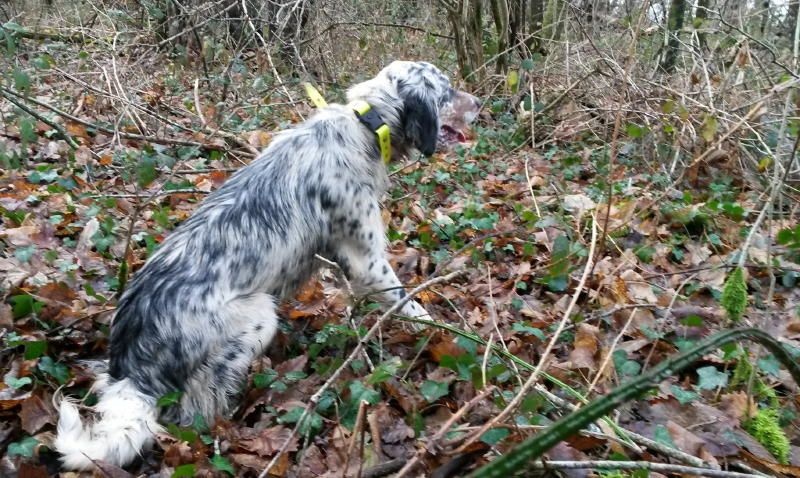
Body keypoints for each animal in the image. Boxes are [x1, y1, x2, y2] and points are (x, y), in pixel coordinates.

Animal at [56, 60, 482, 470]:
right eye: (446, 90)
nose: (479, 103)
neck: (365, 124)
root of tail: (131, 366)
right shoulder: (368, 262)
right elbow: (413, 306)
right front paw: (451, 334)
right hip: (259, 313)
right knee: (193, 411)